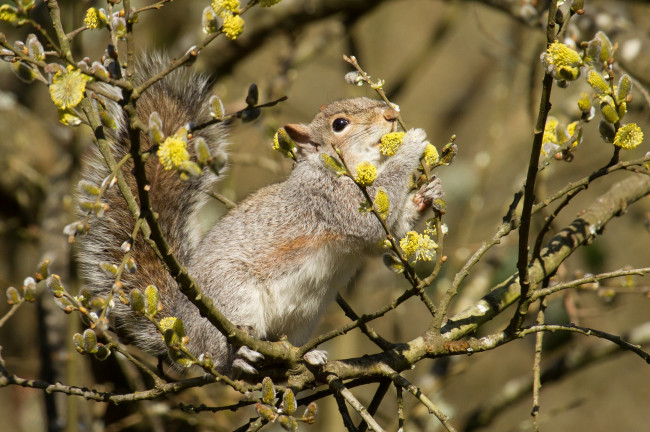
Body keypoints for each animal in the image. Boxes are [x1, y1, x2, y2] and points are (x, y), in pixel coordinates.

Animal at [76, 55, 440, 376]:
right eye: (340, 124)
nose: (391, 114)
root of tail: (180, 332)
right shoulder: (328, 201)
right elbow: (372, 217)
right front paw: (410, 145)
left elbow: (387, 235)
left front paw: (426, 195)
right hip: (233, 299)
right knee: (216, 356)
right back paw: (236, 359)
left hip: (302, 319)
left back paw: (309, 356)